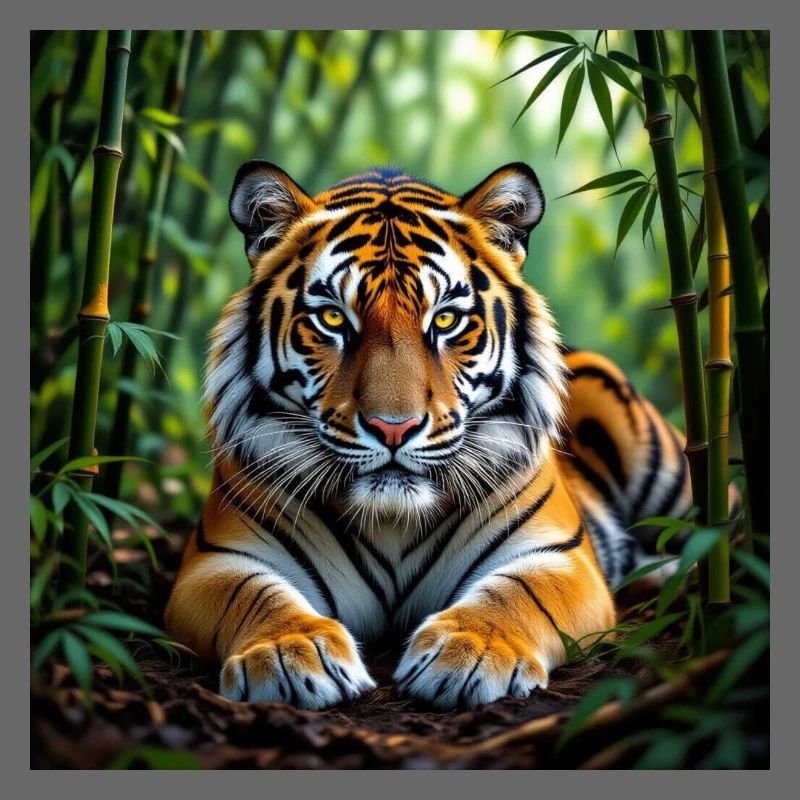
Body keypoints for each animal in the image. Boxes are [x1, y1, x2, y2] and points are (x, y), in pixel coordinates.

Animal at [165, 161, 697, 711]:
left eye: (445, 319)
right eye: (332, 317)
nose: (392, 428)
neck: (392, 522)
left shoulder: (559, 557)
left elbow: (517, 594)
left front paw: (472, 651)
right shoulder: (218, 561)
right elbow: (255, 595)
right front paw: (288, 652)